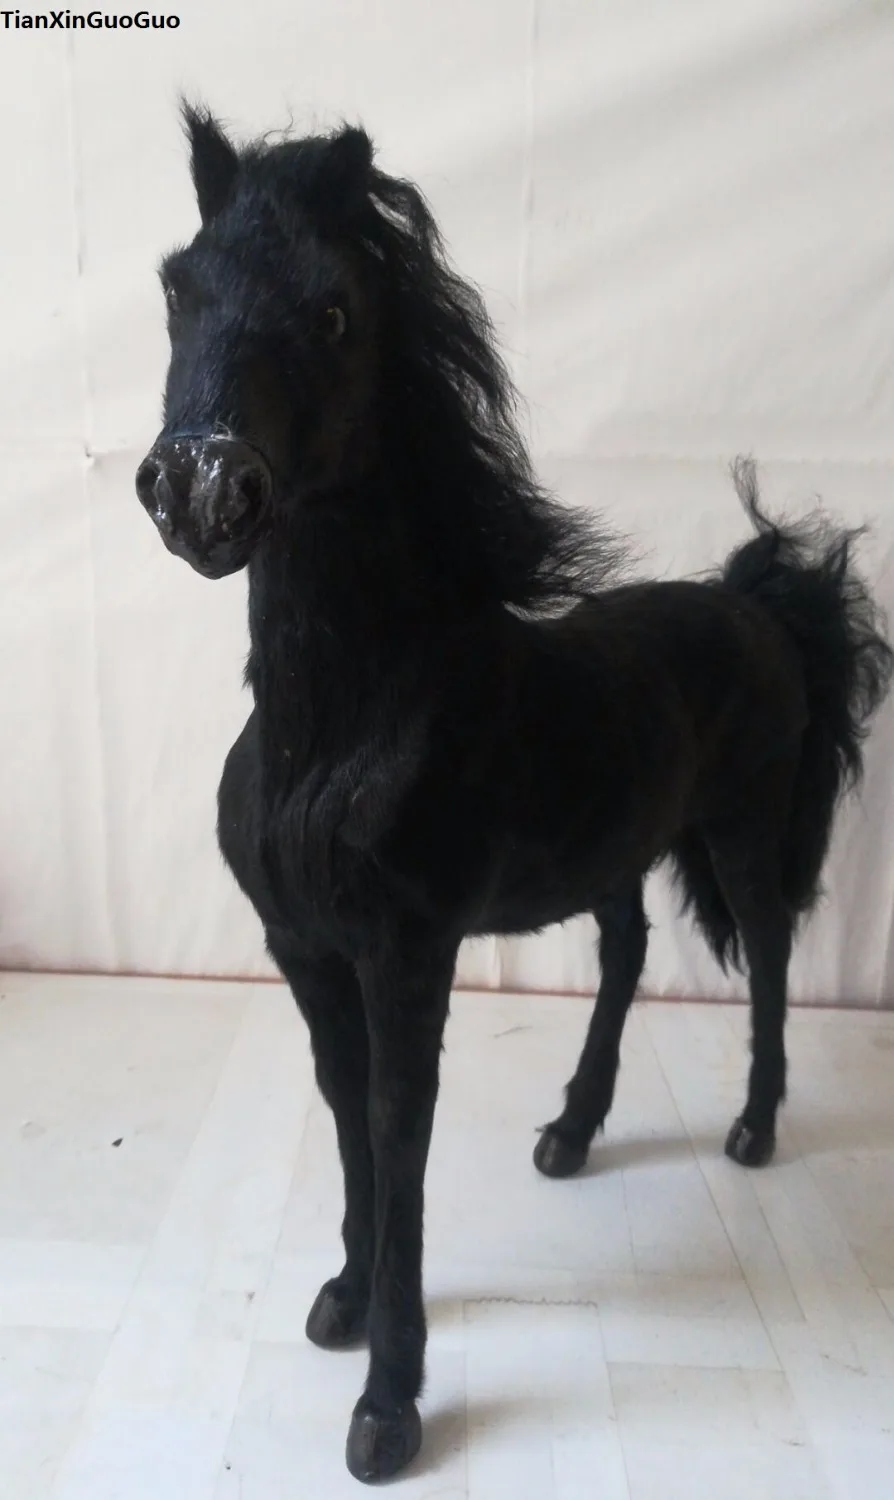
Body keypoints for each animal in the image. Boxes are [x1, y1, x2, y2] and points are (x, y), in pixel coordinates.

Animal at [135, 104, 893, 1483]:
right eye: (178, 288)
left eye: (333, 312)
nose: (203, 489)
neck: (330, 737)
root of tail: (759, 604)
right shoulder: (308, 954)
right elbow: (350, 1122)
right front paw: (342, 1299)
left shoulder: (408, 954)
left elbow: (400, 1135)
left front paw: (389, 1405)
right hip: (617, 851)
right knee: (629, 950)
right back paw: (573, 1133)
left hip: (741, 829)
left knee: (764, 951)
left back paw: (753, 1130)